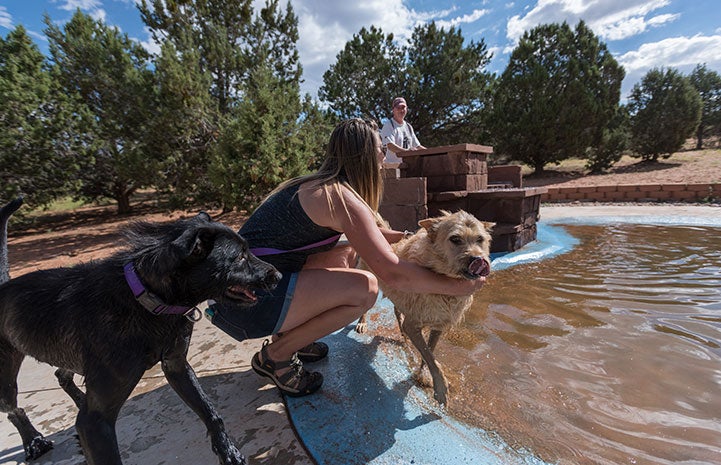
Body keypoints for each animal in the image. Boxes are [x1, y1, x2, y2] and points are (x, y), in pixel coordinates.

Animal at [0, 197, 280, 464]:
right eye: (240, 257)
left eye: (247, 249)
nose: (277, 275)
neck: (144, 297)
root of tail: (3, 286)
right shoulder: (95, 423)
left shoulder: (177, 366)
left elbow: (211, 413)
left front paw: (228, 453)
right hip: (7, 384)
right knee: (15, 409)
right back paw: (33, 440)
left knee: (62, 374)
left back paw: (77, 404)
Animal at [358, 208, 492, 404]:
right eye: (455, 239)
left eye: (480, 239)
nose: (478, 258)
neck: (443, 281)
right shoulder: (413, 325)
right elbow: (430, 357)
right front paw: (440, 388)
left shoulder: (438, 326)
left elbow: (429, 353)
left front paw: (423, 375)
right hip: (369, 278)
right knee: (367, 307)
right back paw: (362, 322)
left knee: (397, 310)